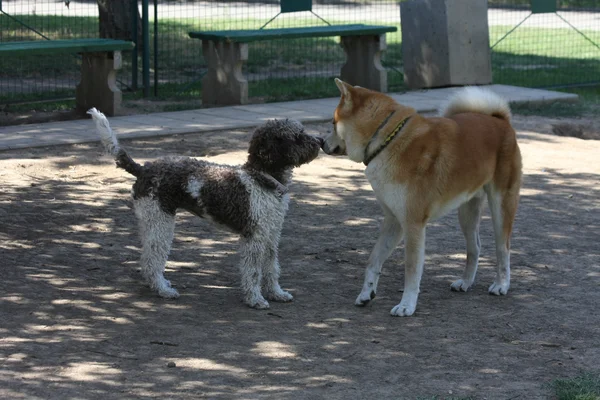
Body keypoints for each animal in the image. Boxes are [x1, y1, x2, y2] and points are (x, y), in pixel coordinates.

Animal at [88, 108, 324, 310]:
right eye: (297, 136)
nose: (321, 141)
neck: (261, 178)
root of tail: (143, 169)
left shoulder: (272, 235)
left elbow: (272, 267)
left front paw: (277, 293)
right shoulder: (254, 237)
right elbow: (254, 271)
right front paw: (255, 299)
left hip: (152, 221)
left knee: (147, 257)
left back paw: (158, 284)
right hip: (162, 223)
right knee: (153, 260)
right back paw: (163, 290)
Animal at [322, 78, 524, 316]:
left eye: (333, 123)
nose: (320, 142)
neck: (386, 140)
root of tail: (500, 120)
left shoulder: (413, 224)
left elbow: (411, 269)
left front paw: (406, 305)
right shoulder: (393, 219)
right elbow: (373, 259)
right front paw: (366, 293)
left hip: (501, 205)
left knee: (503, 248)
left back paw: (501, 284)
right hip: (467, 211)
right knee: (474, 247)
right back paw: (465, 282)